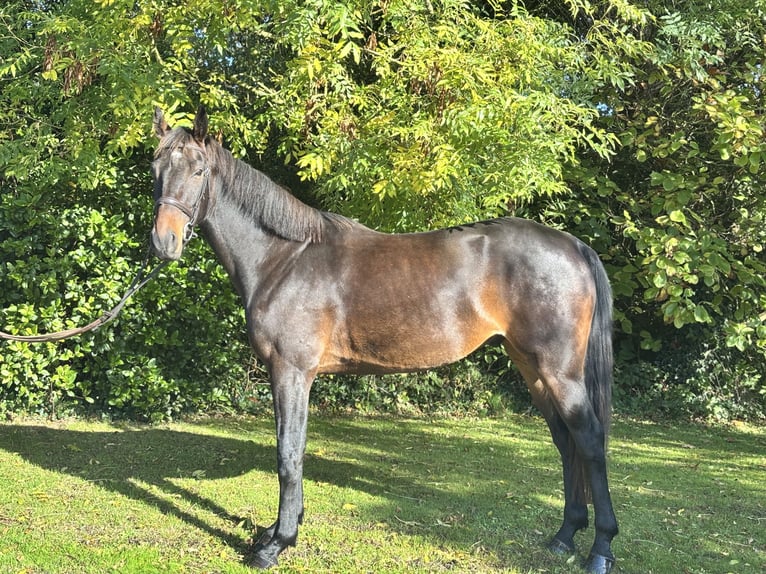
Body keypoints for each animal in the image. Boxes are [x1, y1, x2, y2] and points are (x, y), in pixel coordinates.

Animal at [150, 107, 618, 574]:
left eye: (199, 170)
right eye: (155, 169)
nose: (163, 241)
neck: (285, 258)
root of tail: (573, 246)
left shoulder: (291, 372)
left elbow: (288, 454)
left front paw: (276, 543)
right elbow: (292, 450)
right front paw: (279, 530)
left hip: (559, 372)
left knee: (589, 441)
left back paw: (600, 549)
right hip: (531, 367)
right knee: (566, 442)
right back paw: (564, 536)